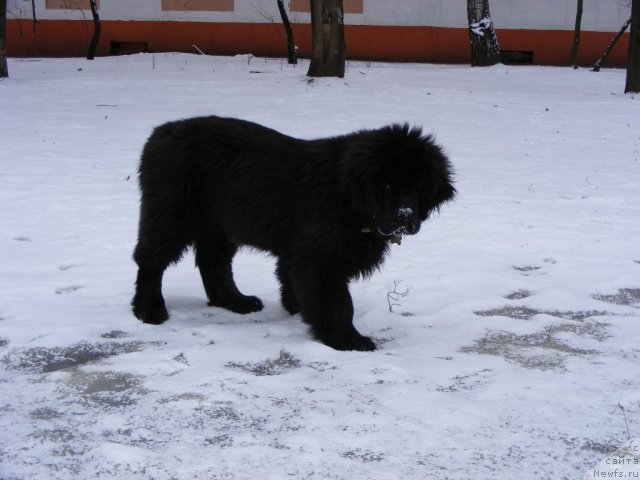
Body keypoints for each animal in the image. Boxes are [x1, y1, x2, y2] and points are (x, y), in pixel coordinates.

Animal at [132, 116, 456, 348]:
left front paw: (298, 308)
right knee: (151, 261)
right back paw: (149, 310)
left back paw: (235, 302)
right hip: (171, 213)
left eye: (418, 185)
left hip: (219, 223)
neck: (348, 198)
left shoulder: (299, 251)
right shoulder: (320, 256)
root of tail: (159, 132)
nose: (404, 217)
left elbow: (293, 279)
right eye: (386, 185)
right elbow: (338, 302)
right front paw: (346, 339)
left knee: (213, 263)